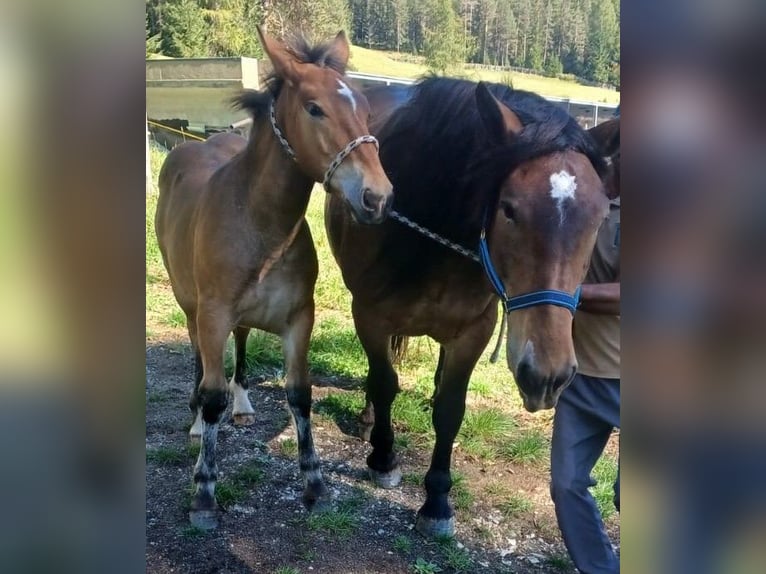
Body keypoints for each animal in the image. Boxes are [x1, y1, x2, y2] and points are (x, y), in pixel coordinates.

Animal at [155, 27, 393, 529]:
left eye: (365, 109)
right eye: (314, 108)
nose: (377, 197)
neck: (261, 224)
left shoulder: (299, 317)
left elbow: (300, 394)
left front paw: (315, 485)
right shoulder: (213, 314)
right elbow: (211, 394)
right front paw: (203, 493)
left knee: (242, 342)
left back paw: (243, 406)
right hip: (190, 305)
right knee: (198, 360)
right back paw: (197, 424)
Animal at [325, 77, 611, 537]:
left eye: (601, 217)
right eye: (509, 208)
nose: (547, 376)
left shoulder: (474, 331)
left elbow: (450, 408)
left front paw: (438, 501)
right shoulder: (369, 315)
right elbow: (384, 382)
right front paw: (383, 459)